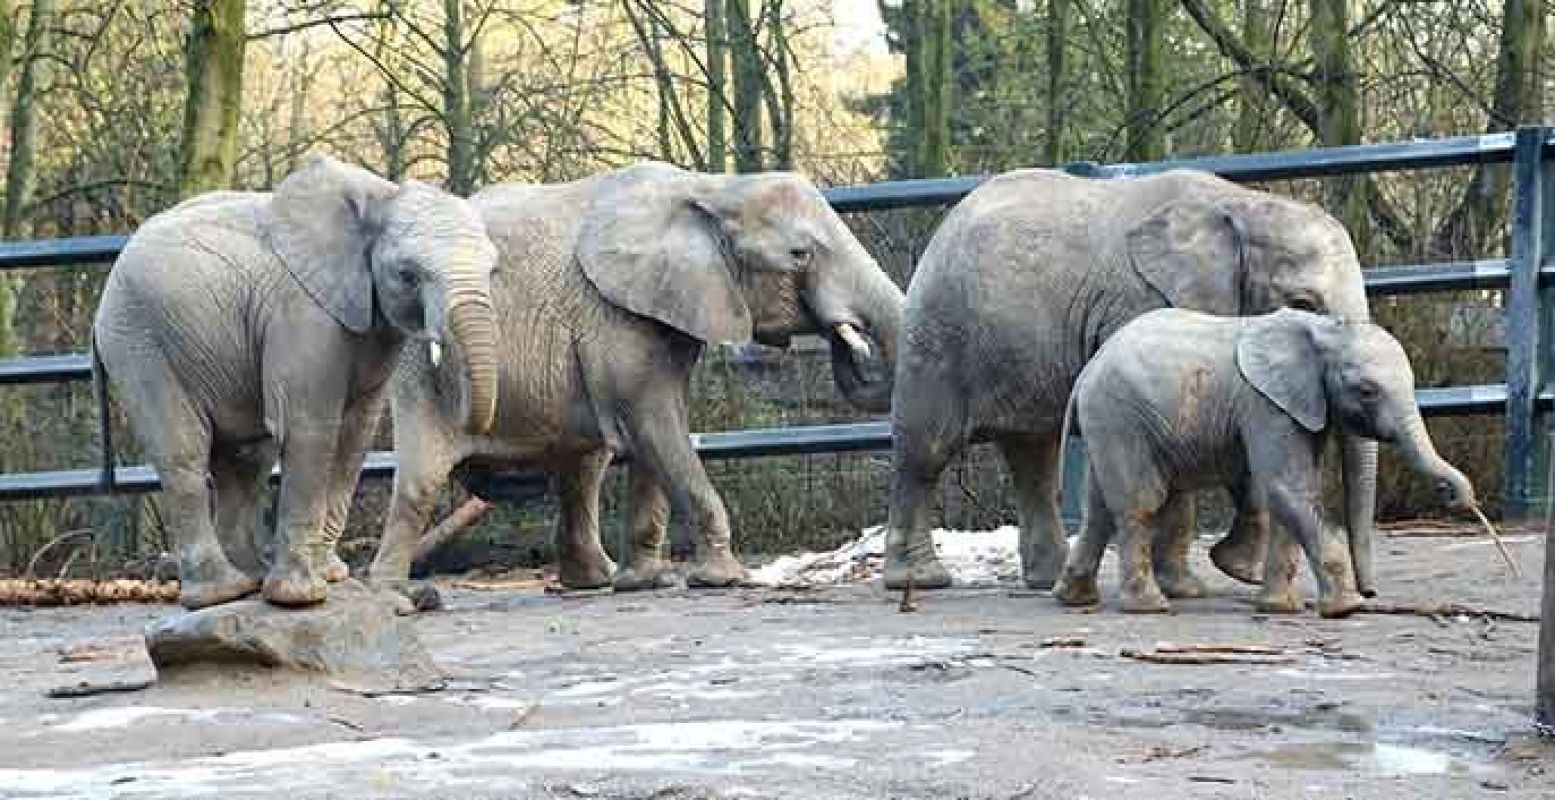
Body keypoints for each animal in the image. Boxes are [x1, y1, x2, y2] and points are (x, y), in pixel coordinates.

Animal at [90, 154, 500, 603]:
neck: (380, 196)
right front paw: (301, 596)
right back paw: (222, 592)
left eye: (493, 271)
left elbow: (355, 435)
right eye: (408, 274)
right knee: (184, 455)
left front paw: (330, 577)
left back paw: (250, 579)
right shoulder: (302, 314)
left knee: (245, 460)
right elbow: (309, 428)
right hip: (140, 342)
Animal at [362, 158, 901, 588]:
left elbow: (658, 429)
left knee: (583, 469)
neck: (713, 188)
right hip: (419, 366)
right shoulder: (614, 316)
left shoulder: (663, 306)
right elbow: (654, 421)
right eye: (800, 255)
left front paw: (646, 582)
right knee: (422, 479)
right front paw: (724, 580)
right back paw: (389, 589)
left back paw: (592, 581)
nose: (846, 336)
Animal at [883, 164, 1380, 594]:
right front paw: (1199, 585)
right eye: (1302, 303)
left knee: (1033, 455)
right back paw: (921, 579)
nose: (1370, 593)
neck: (1244, 203)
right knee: (927, 450)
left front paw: (1226, 572)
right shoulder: (1143, 300)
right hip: (938, 333)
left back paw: (1048, 579)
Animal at [1051, 306, 1474, 616]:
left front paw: (1279, 608)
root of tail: (1087, 370)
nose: (1461, 498)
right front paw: (1345, 609)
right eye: (1366, 391)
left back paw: (1073, 598)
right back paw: (1150, 607)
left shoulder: (1301, 407)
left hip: (1109, 422)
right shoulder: (1266, 405)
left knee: (1099, 508)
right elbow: (1286, 487)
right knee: (1139, 501)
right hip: (1120, 416)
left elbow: (1291, 494)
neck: (1322, 329)